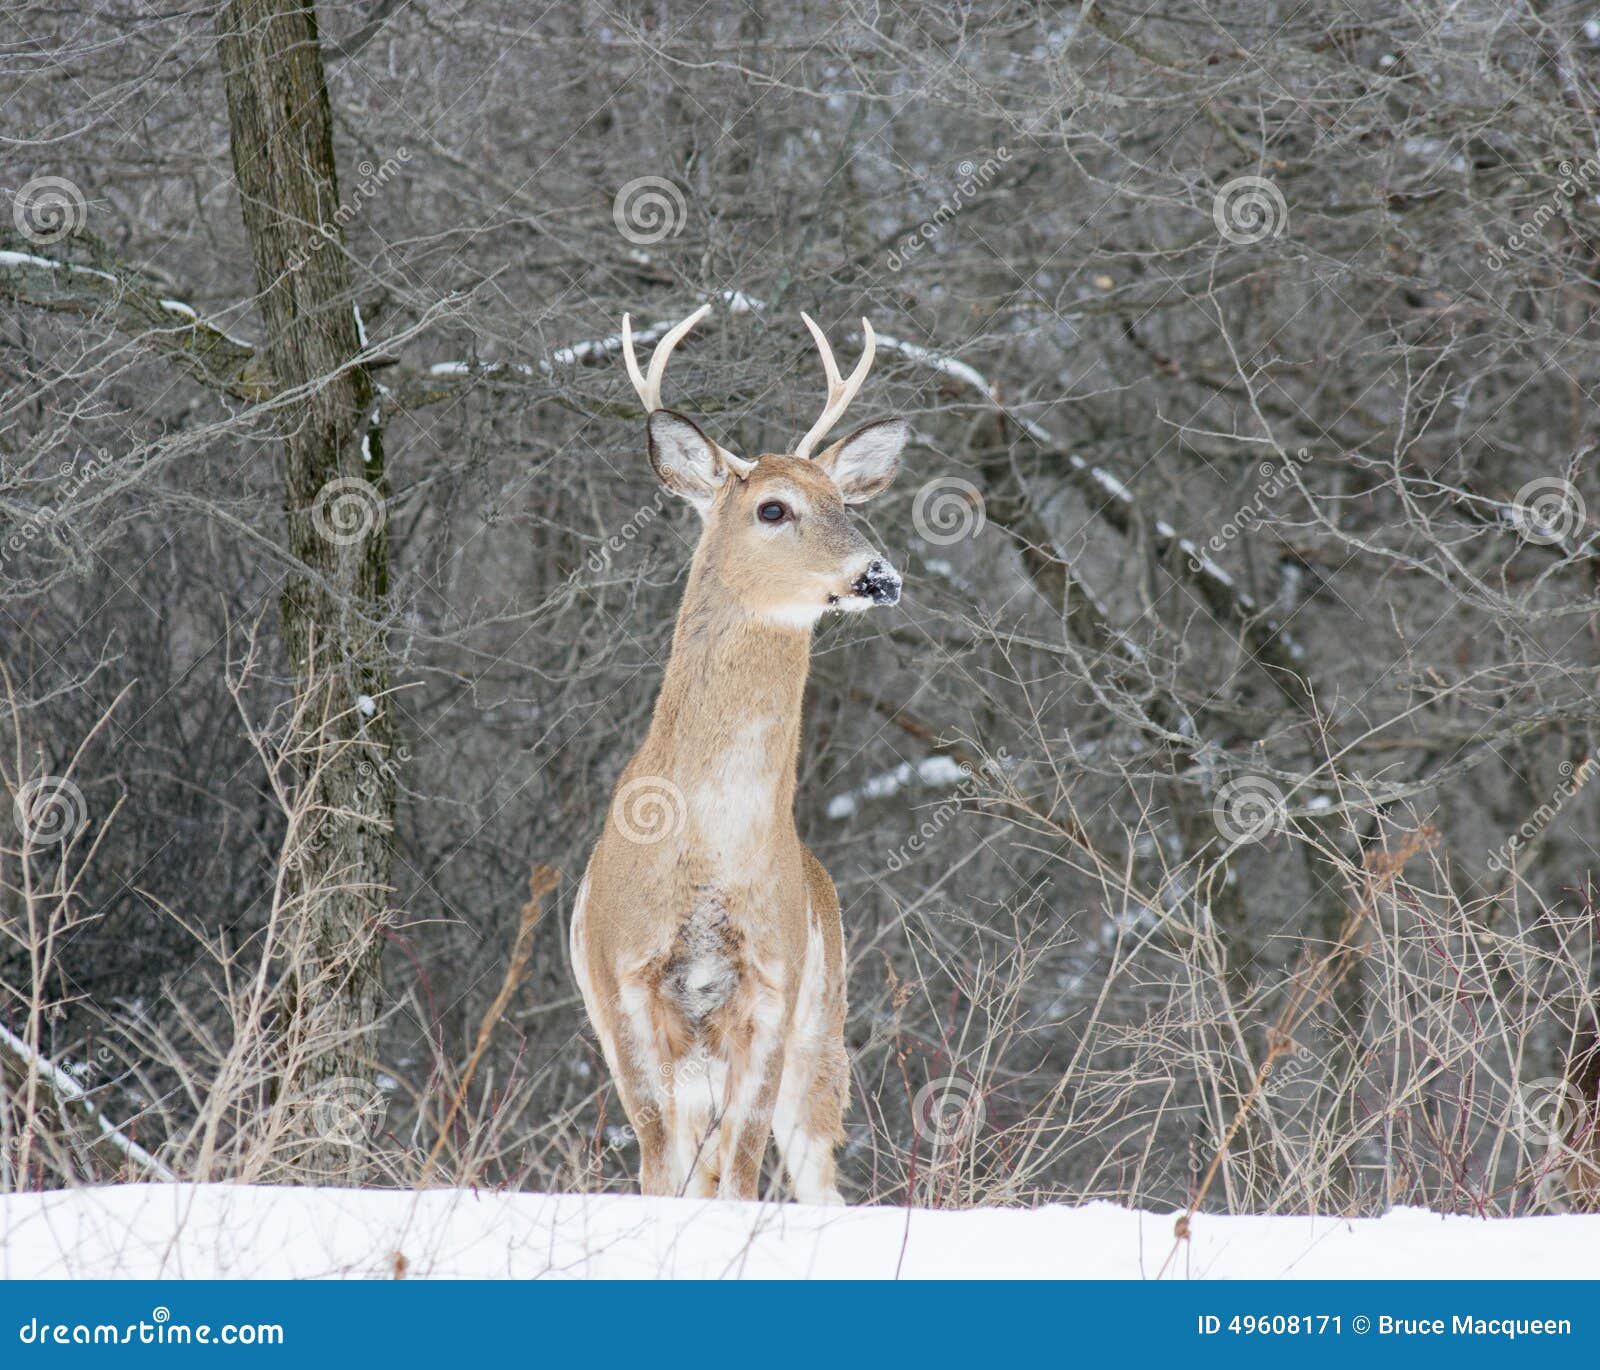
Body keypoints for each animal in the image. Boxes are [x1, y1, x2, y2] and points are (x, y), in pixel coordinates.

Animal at [569, 304, 907, 1205]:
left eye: (846, 501)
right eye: (774, 510)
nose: (879, 575)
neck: (708, 845)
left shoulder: (775, 983)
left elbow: (746, 1171)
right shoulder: (624, 978)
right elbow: (659, 1167)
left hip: (823, 1038)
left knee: (814, 1175)